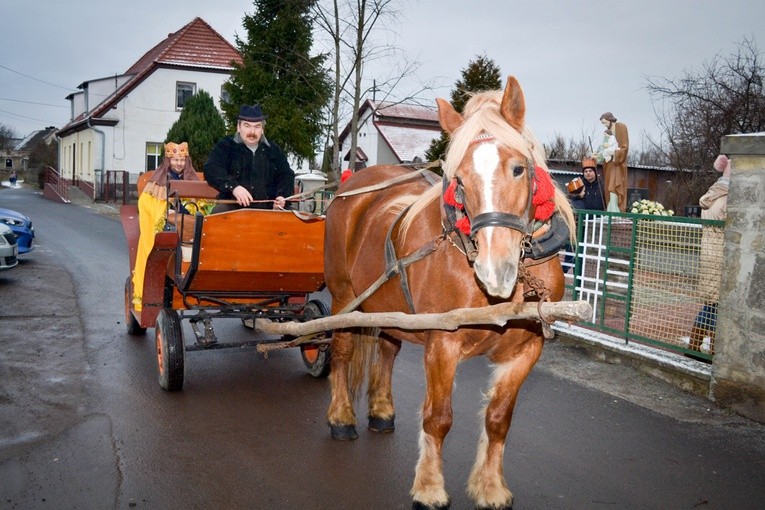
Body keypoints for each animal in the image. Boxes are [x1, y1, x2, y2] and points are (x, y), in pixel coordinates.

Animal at [322, 76, 572, 510]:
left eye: (518, 169)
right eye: (459, 179)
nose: (494, 269)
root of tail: (353, 185)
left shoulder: (527, 350)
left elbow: (499, 419)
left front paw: (491, 488)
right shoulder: (443, 343)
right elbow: (438, 419)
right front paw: (429, 488)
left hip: (390, 310)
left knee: (386, 350)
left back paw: (382, 411)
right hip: (343, 297)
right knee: (341, 351)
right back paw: (341, 418)